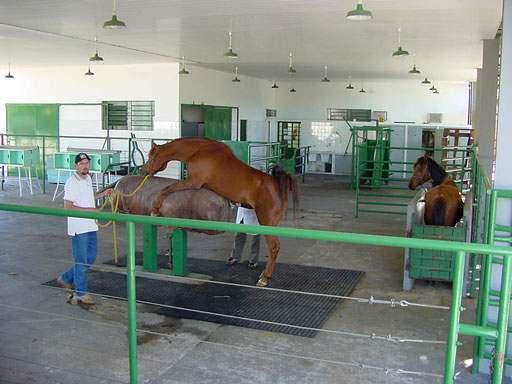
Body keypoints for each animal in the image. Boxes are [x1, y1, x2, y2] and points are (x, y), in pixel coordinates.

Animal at [142, 139, 298, 288]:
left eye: (152, 156)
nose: (143, 170)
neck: (198, 151)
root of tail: (276, 184)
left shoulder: (193, 182)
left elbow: (167, 189)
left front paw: (155, 209)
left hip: (267, 222)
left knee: (274, 247)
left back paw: (264, 278)